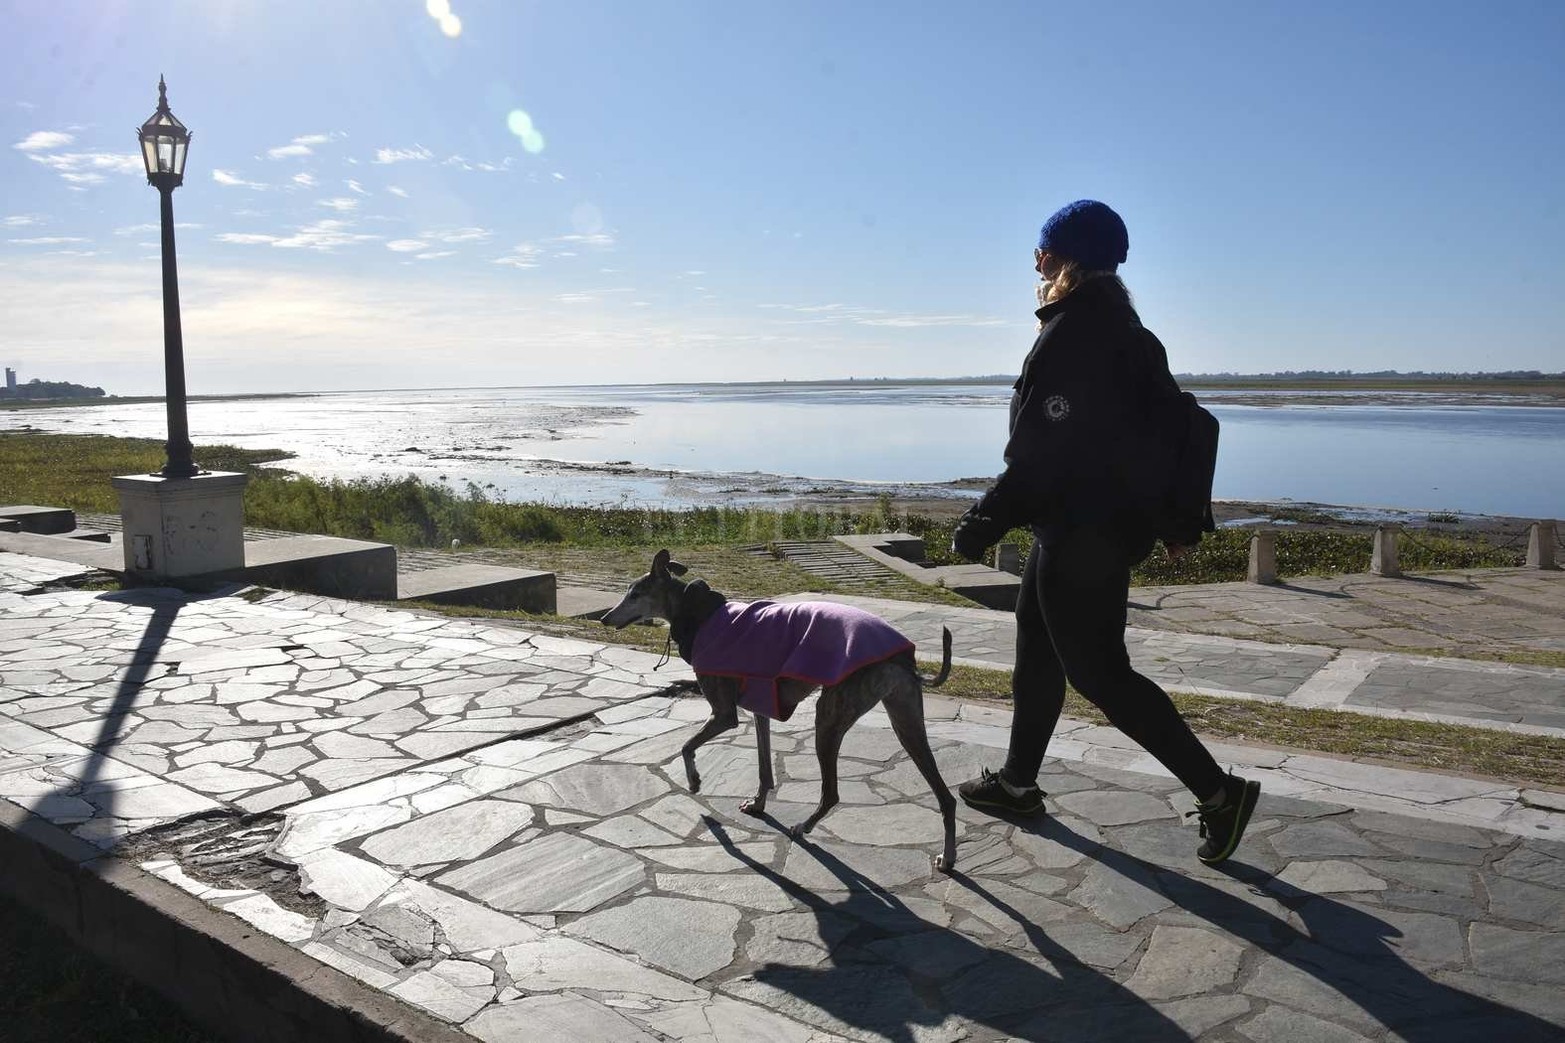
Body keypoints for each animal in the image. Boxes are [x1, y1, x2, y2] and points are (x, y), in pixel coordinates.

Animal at [604, 548, 957, 870]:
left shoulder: (724, 714)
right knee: (946, 797)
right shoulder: (760, 708)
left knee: (832, 793)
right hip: (906, 721)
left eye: (635, 594)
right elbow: (764, 768)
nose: (606, 618)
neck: (699, 615)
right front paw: (758, 804)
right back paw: (948, 857)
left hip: (829, 717)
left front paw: (694, 780)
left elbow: (686, 745)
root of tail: (899, 657)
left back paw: (803, 827)